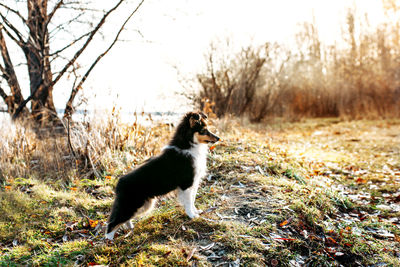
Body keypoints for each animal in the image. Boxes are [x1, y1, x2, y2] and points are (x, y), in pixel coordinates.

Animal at [104, 111, 220, 241]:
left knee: (123, 220)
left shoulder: (194, 183)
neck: (188, 145)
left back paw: (130, 228)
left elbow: (192, 199)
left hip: (144, 205)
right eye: (203, 130)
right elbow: (189, 201)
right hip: (131, 205)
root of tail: (119, 183)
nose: (218, 138)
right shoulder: (187, 184)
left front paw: (196, 212)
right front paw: (192, 216)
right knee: (112, 222)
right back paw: (109, 240)